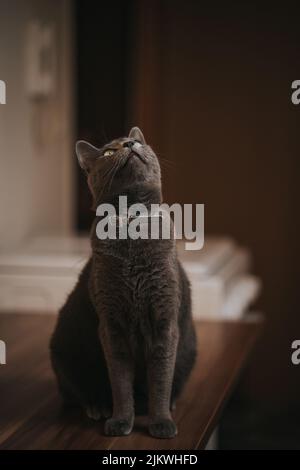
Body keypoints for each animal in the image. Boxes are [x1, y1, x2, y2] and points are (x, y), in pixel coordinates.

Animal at [51, 126, 197, 438]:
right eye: (108, 152)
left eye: (137, 142)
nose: (130, 144)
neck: (132, 221)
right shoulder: (111, 324)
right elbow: (119, 382)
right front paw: (120, 421)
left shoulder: (165, 321)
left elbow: (160, 381)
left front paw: (161, 422)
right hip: (66, 347)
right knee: (76, 391)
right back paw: (97, 406)